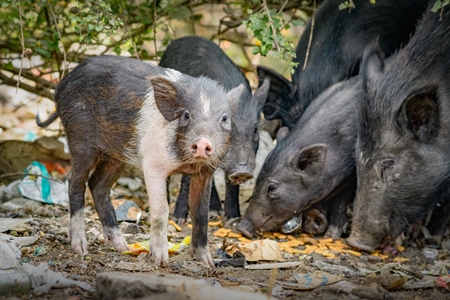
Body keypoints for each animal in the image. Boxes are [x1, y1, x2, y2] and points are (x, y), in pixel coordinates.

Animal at [37, 55, 243, 266]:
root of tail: (62, 83)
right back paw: (81, 248)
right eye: (187, 115)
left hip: (115, 154)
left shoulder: (205, 173)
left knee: (97, 185)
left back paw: (123, 248)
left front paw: (207, 263)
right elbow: (161, 210)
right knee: (75, 183)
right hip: (80, 141)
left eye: (225, 118)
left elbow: (200, 214)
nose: (202, 142)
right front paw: (160, 261)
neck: (185, 162)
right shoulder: (152, 165)